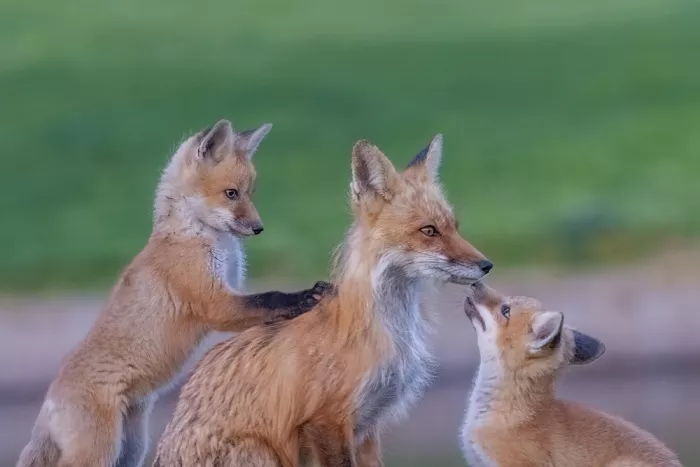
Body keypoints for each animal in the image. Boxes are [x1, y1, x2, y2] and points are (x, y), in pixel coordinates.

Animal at [16, 119, 331, 467]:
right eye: (231, 194)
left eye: (250, 194)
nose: (258, 228)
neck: (196, 236)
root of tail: (48, 402)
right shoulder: (215, 303)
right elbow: (271, 298)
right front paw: (305, 297)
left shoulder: (232, 287)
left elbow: (263, 305)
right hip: (101, 452)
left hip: (132, 447)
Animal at [152, 134, 494, 467]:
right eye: (429, 231)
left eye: (454, 227)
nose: (486, 265)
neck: (388, 332)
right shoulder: (326, 421)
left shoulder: (367, 428)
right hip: (261, 452)